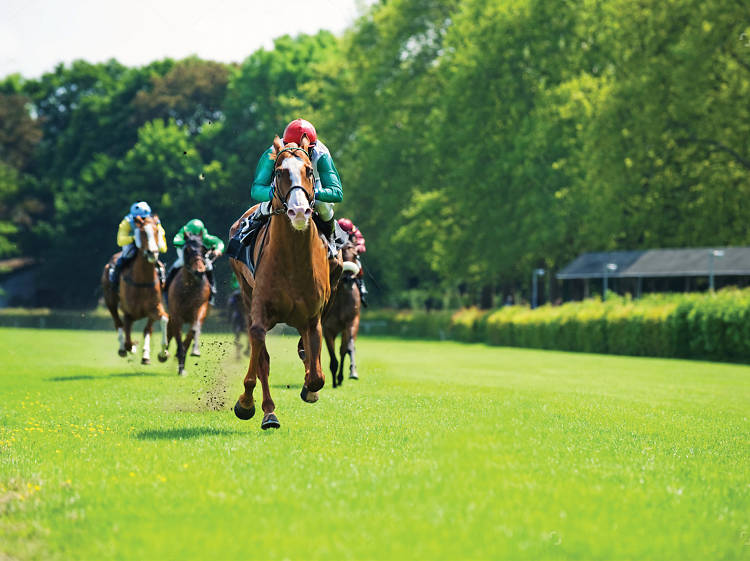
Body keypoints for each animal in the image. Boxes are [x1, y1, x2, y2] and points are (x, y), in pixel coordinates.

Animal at [100, 214, 168, 364]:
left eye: (157, 231)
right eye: (142, 232)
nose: (152, 253)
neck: (142, 281)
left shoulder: (154, 308)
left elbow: (163, 320)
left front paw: (163, 353)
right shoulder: (129, 311)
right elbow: (127, 337)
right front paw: (131, 347)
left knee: (146, 329)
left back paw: (145, 354)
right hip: (110, 301)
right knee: (118, 323)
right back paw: (123, 348)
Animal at [165, 232, 210, 376]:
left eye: (204, 250)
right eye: (187, 250)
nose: (199, 272)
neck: (189, 287)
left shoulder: (200, 308)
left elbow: (194, 330)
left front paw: (193, 351)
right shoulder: (176, 314)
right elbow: (177, 335)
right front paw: (180, 366)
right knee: (170, 329)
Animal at [228, 135, 336, 428]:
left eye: (309, 170)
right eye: (278, 172)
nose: (298, 211)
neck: (293, 261)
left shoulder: (312, 318)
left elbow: (317, 376)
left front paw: (310, 389)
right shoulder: (260, 312)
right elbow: (261, 357)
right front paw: (255, 407)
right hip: (246, 293)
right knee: (259, 354)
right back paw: (257, 407)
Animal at [322, 241, 362, 384]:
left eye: (355, 255)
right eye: (341, 254)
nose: (349, 279)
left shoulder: (351, 321)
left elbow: (347, 349)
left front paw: (352, 373)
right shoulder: (327, 327)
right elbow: (332, 354)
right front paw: (334, 380)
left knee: (344, 349)